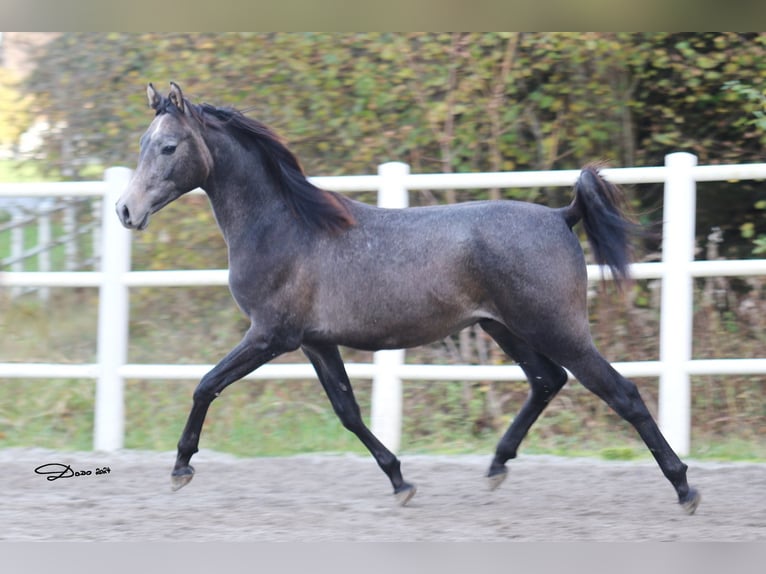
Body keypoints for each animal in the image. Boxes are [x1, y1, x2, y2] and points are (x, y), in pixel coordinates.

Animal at [115, 80, 704, 512]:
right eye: (142, 145)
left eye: (169, 146)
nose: (126, 211)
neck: (285, 226)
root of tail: (563, 215)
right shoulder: (314, 341)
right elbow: (348, 411)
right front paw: (400, 481)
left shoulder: (270, 335)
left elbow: (205, 385)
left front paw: (181, 468)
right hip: (504, 326)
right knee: (546, 381)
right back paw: (496, 467)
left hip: (556, 328)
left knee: (621, 392)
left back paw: (684, 488)